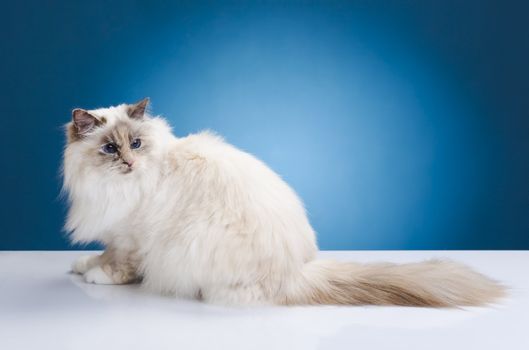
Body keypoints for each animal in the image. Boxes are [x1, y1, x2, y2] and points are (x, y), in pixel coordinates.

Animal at [62, 98, 504, 306]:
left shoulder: (133, 237)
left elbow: (119, 264)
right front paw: (84, 265)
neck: (111, 189)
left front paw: (97, 275)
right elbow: (104, 253)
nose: (129, 162)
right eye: (109, 149)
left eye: (136, 144)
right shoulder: (115, 231)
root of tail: (298, 271)